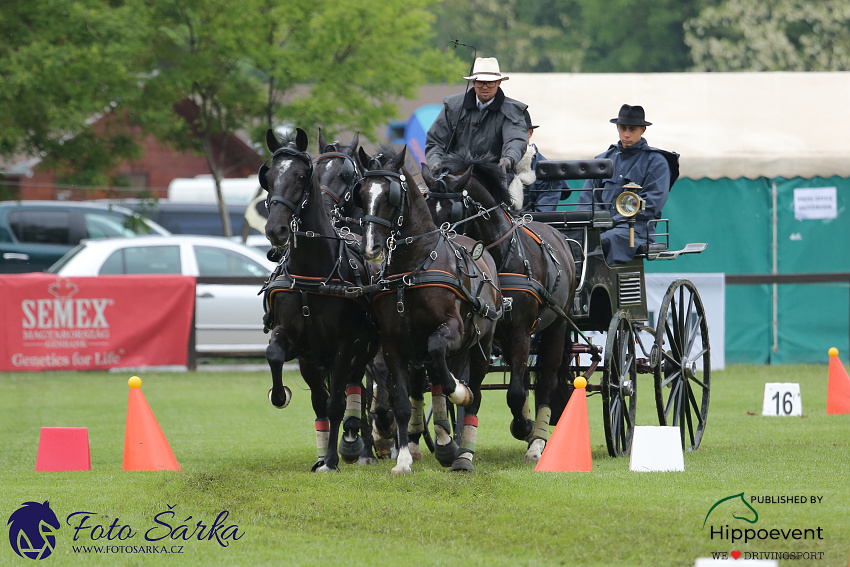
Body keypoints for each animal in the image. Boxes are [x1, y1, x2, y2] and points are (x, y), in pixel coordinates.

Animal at [260, 127, 376, 470]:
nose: (275, 229)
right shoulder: (299, 345)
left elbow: (337, 402)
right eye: (268, 176)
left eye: (300, 175)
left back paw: (360, 444)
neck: (312, 274)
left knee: (357, 387)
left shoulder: (343, 344)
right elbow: (276, 357)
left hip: (366, 348)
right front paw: (279, 395)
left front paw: (333, 458)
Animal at [352, 146, 500, 474]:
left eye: (391, 195)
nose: (370, 248)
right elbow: (402, 402)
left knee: (472, 394)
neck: (412, 267)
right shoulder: (393, 344)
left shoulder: (450, 329)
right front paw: (403, 459)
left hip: (481, 344)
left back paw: (462, 451)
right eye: (362, 193)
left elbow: (439, 355)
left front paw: (459, 391)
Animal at [422, 153, 576, 464]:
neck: (499, 257)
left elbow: (515, 392)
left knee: (547, 378)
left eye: (452, 212)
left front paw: (524, 427)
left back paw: (537, 440)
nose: (433, 254)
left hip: (557, 325)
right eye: (427, 206)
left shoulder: (520, 330)